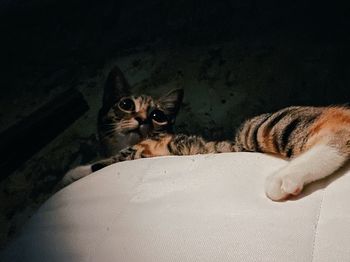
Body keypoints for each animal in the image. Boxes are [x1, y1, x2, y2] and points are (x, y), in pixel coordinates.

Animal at [65, 104, 350, 201]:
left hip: (253, 128)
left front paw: (72, 173)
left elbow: (106, 161)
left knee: (338, 124)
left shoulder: (146, 147)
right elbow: (103, 163)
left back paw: (285, 178)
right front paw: (72, 174)